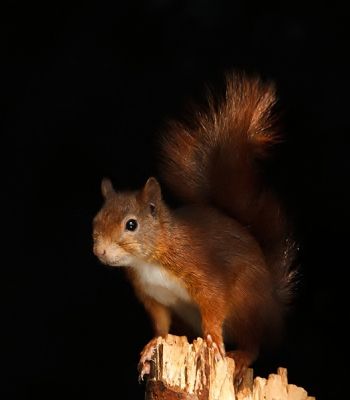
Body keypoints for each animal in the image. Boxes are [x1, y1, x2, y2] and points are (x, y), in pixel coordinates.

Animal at [92, 71, 296, 384]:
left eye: (131, 224)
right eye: (96, 219)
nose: (100, 251)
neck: (149, 260)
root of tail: (274, 310)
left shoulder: (201, 268)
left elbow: (213, 302)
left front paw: (212, 339)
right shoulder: (153, 295)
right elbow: (161, 325)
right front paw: (153, 346)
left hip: (247, 300)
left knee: (254, 342)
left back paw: (240, 356)